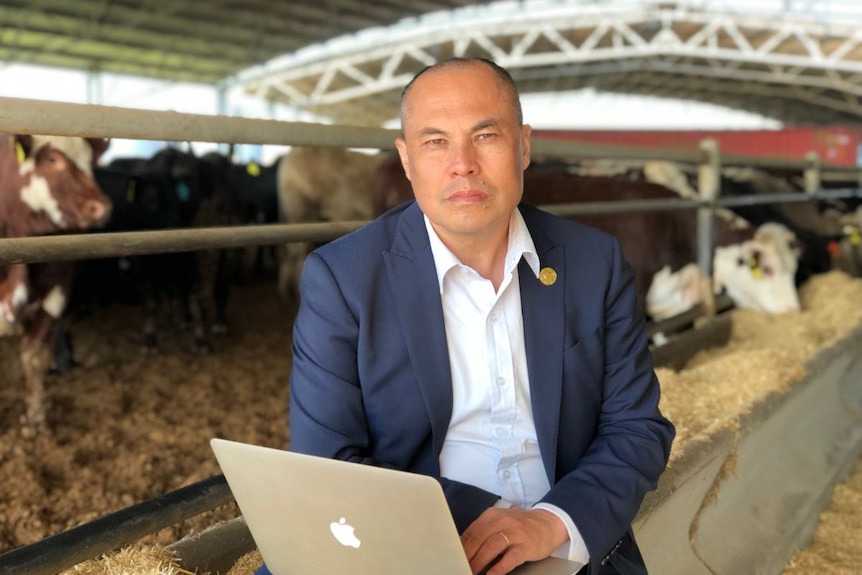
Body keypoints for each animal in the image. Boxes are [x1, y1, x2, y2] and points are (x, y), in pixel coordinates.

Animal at [0, 132, 113, 428]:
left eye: (90, 161)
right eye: (52, 159)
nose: (101, 207)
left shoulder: (58, 288)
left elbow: (33, 353)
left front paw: (35, 418)